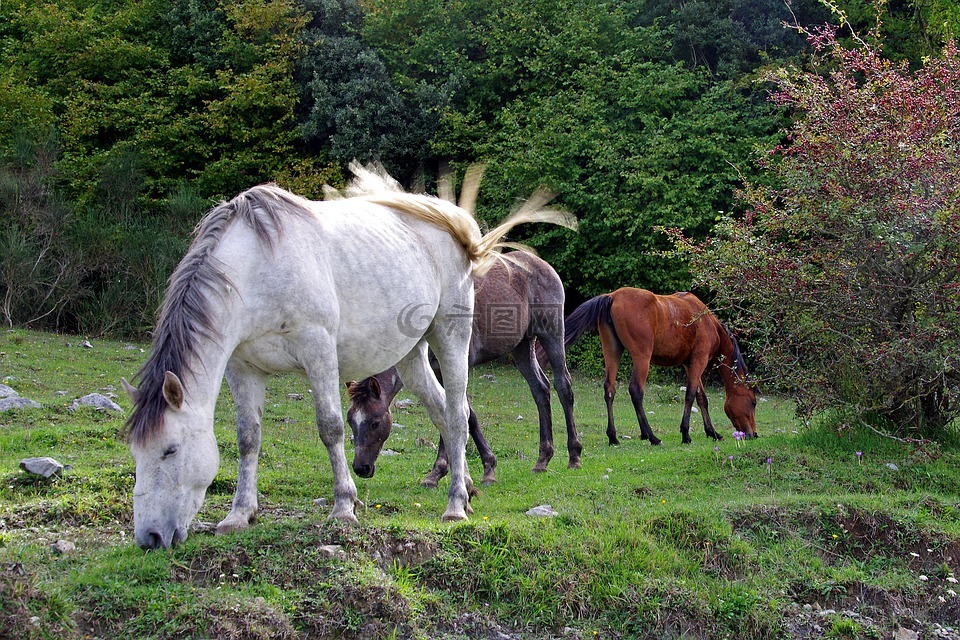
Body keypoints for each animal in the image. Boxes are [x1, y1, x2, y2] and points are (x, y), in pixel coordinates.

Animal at [348, 250, 580, 484]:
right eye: (350, 421)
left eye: (375, 422)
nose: (361, 468)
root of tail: (539, 263)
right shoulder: (437, 371)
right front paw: (456, 470)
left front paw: (460, 469)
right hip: (522, 347)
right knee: (540, 389)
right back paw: (543, 459)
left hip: (551, 334)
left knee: (563, 386)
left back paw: (574, 456)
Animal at [564, 288, 756, 444]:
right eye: (753, 402)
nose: (754, 434)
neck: (708, 323)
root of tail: (612, 296)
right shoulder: (699, 361)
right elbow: (690, 395)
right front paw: (686, 435)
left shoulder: (690, 364)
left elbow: (702, 398)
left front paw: (712, 433)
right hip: (642, 357)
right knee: (636, 391)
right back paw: (652, 437)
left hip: (612, 351)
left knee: (609, 390)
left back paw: (613, 437)